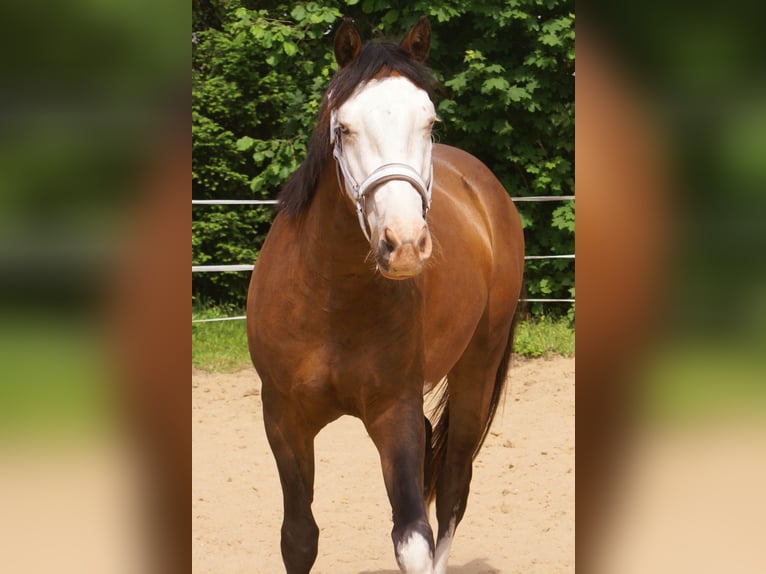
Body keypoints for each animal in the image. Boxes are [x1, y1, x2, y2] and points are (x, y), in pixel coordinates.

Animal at [247, 17, 524, 574]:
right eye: (343, 128)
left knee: (454, 485)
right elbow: (298, 537)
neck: (330, 297)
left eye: (430, 124)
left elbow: (413, 537)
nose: (405, 245)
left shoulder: (394, 412)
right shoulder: (283, 417)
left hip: (477, 369)